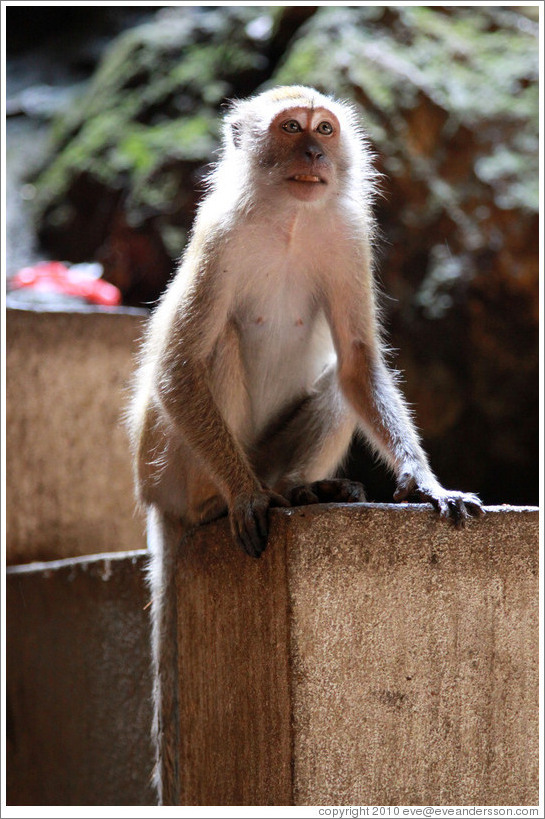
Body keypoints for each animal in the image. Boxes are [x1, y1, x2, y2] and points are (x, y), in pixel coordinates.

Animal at [127, 86, 484, 804]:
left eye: (324, 129)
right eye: (290, 129)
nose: (315, 154)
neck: (289, 219)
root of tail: (156, 498)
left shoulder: (346, 238)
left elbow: (356, 363)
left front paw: (424, 480)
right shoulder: (218, 235)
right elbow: (179, 364)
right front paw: (242, 500)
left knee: (336, 382)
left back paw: (300, 487)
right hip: (169, 464)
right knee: (216, 347)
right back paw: (224, 502)